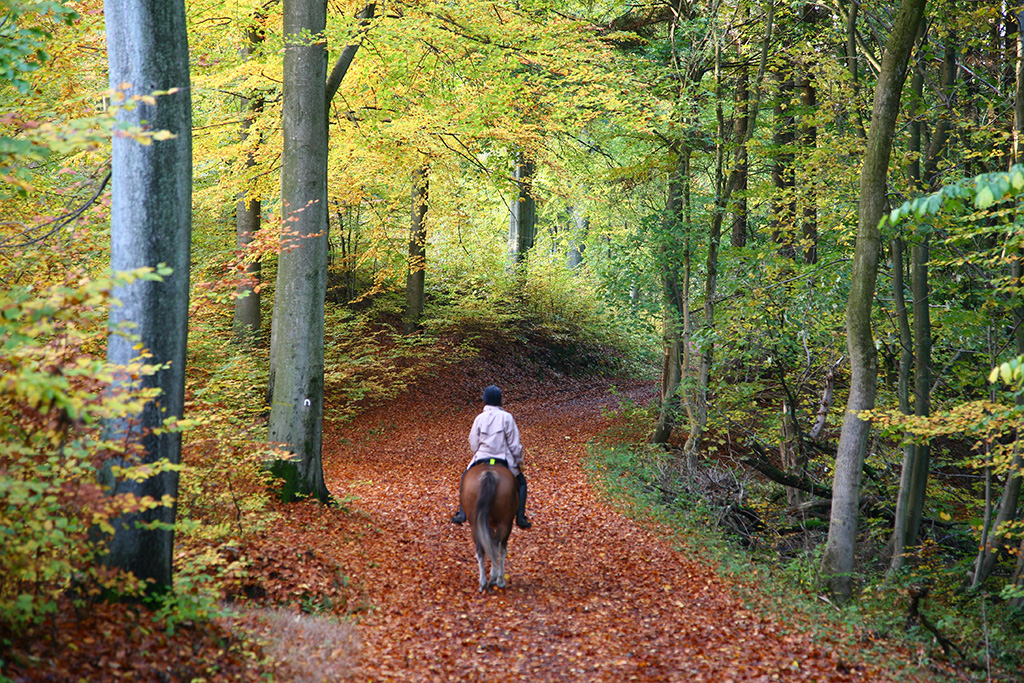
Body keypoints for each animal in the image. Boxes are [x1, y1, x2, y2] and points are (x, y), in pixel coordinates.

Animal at [458, 464, 516, 593]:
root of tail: (489, 474)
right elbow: (501, 550)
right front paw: (500, 581)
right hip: (504, 523)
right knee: (496, 546)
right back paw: (493, 578)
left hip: (475, 524)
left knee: (481, 549)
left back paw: (483, 582)